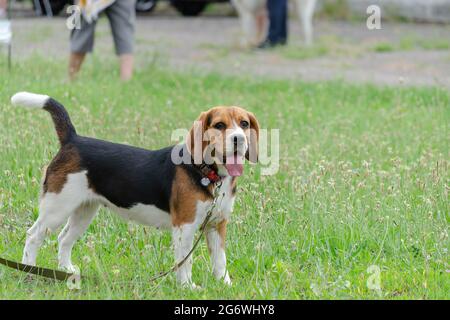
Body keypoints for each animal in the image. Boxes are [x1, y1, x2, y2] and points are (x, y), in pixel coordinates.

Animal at [11, 91, 260, 286]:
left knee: (64, 239)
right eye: (219, 125)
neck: (208, 172)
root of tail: (73, 139)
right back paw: (30, 272)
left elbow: (220, 260)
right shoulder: (185, 227)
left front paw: (224, 285)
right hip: (57, 207)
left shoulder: (217, 224)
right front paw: (188, 287)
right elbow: (184, 261)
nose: (239, 139)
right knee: (33, 236)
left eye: (244, 124)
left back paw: (67, 271)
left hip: (84, 210)